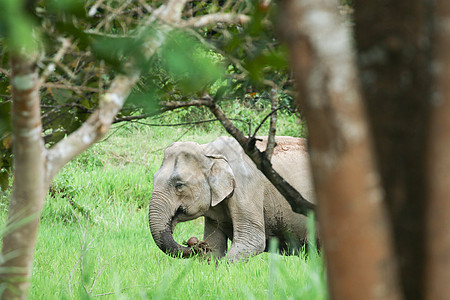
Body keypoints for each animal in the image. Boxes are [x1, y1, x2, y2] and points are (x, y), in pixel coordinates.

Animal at [148, 135, 312, 262]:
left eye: (179, 185)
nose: (195, 243)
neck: (209, 151)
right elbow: (215, 245)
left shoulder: (246, 187)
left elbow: (252, 240)